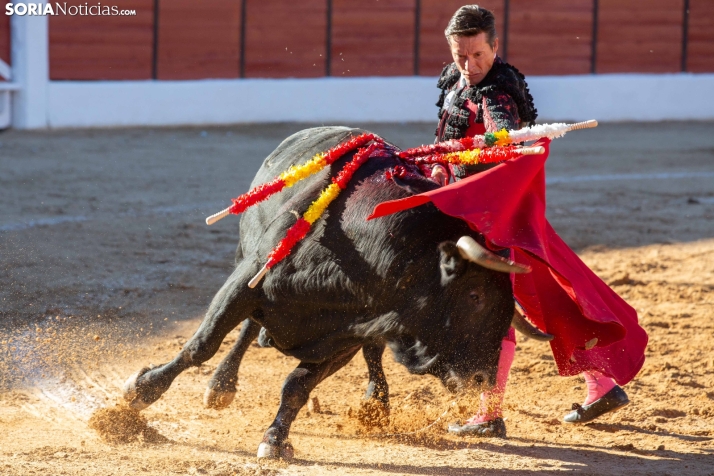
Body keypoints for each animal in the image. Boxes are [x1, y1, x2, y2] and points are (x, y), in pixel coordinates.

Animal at [122, 126, 544, 458]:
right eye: (475, 297)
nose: (483, 378)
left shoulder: (347, 335)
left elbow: (297, 386)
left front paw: (275, 440)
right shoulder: (247, 279)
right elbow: (202, 345)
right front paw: (140, 391)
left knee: (372, 355)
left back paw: (376, 402)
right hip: (244, 256)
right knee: (243, 331)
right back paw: (220, 386)